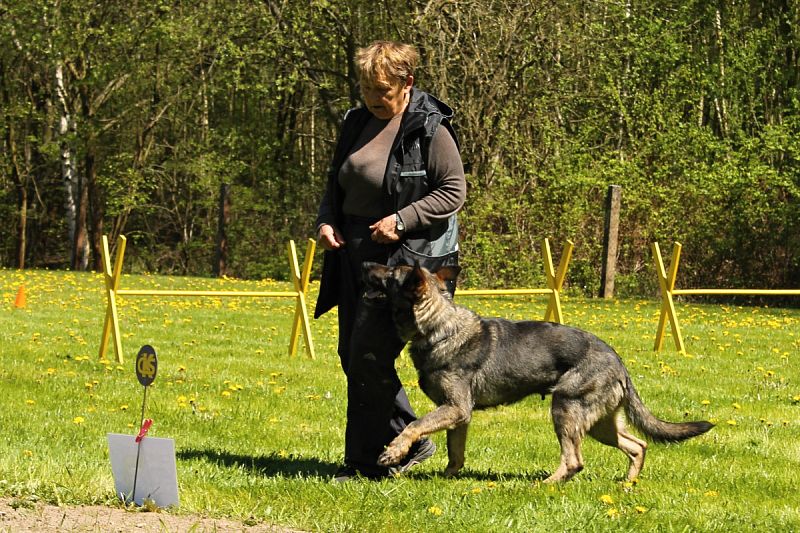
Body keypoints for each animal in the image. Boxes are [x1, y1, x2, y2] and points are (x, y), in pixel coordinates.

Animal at [362, 262, 712, 482]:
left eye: (391, 272)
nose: (365, 264)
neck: (439, 327)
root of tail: (618, 362)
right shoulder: (459, 416)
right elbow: (455, 452)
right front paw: (445, 478)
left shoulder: (455, 408)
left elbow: (414, 426)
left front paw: (393, 453)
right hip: (600, 424)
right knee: (638, 445)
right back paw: (627, 484)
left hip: (565, 411)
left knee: (575, 461)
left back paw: (545, 485)